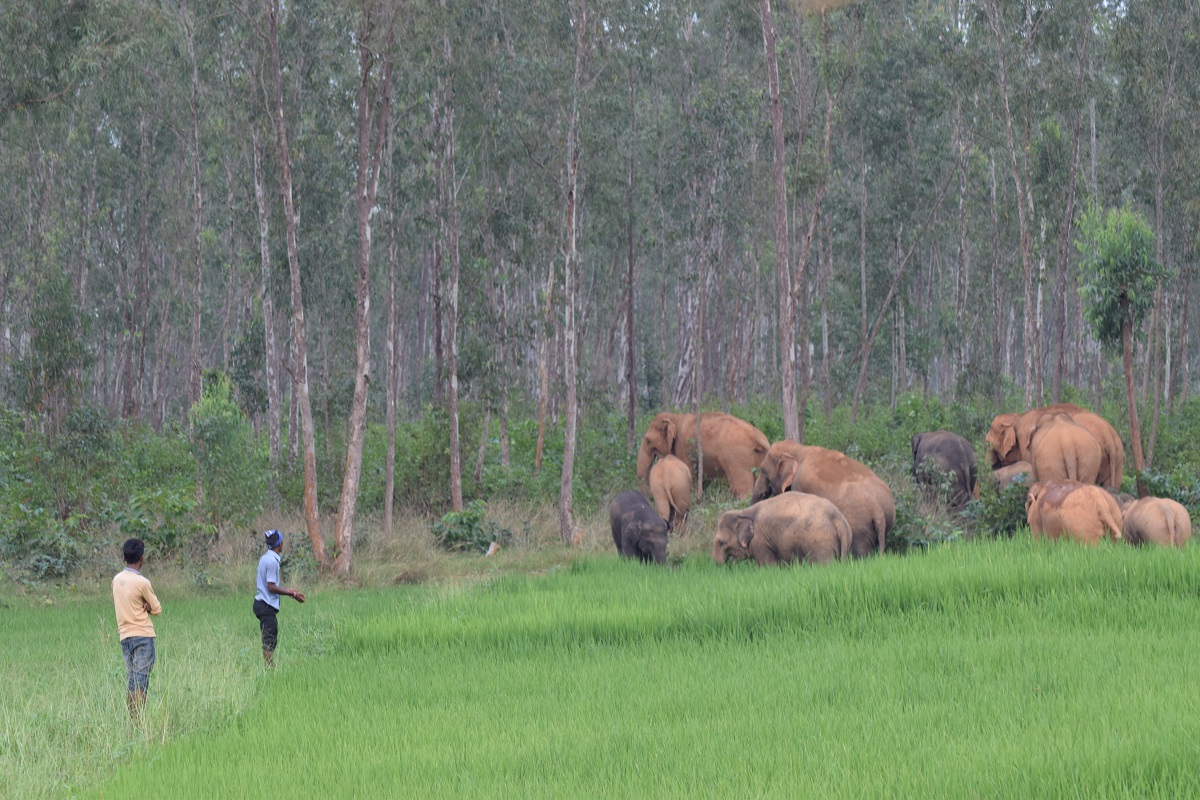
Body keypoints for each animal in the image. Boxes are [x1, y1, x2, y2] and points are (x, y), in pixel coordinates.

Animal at [636, 412, 768, 500]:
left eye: (647, 440)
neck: (675, 417)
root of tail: (757, 437)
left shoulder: (683, 449)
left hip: (737, 460)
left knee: (742, 490)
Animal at [711, 492, 852, 566]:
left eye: (721, 542)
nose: (726, 565)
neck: (744, 512)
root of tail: (837, 517)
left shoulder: (760, 541)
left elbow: (767, 566)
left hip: (820, 543)